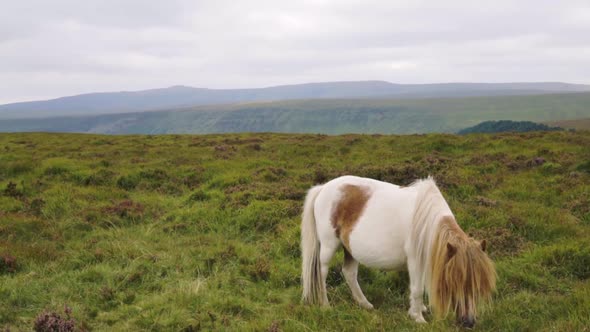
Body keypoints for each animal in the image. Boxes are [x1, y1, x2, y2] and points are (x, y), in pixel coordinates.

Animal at [302, 175, 498, 328]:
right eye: (455, 281)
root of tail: (323, 188)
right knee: (322, 273)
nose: (469, 322)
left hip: (350, 249)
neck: (426, 221)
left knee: (349, 273)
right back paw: (325, 305)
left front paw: (421, 309)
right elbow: (417, 288)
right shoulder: (415, 261)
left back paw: (365, 304)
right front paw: (418, 317)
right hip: (328, 246)